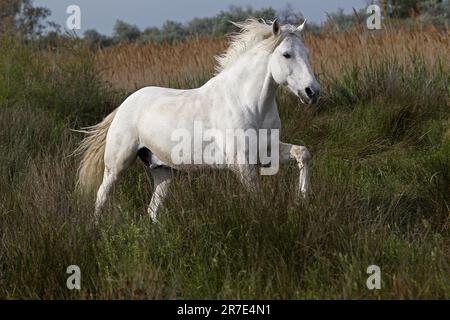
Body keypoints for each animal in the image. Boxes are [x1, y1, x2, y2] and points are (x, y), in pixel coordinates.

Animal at [75, 18, 320, 221]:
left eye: (307, 53)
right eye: (286, 54)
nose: (313, 92)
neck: (249, 104)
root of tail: (125, 105)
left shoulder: (267, 149)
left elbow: (303, 153)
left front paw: (303, 198)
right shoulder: (241, 162)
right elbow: (257, 197)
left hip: (163, 170)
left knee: (152, 210)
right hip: (117, 164)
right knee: (101, 196)